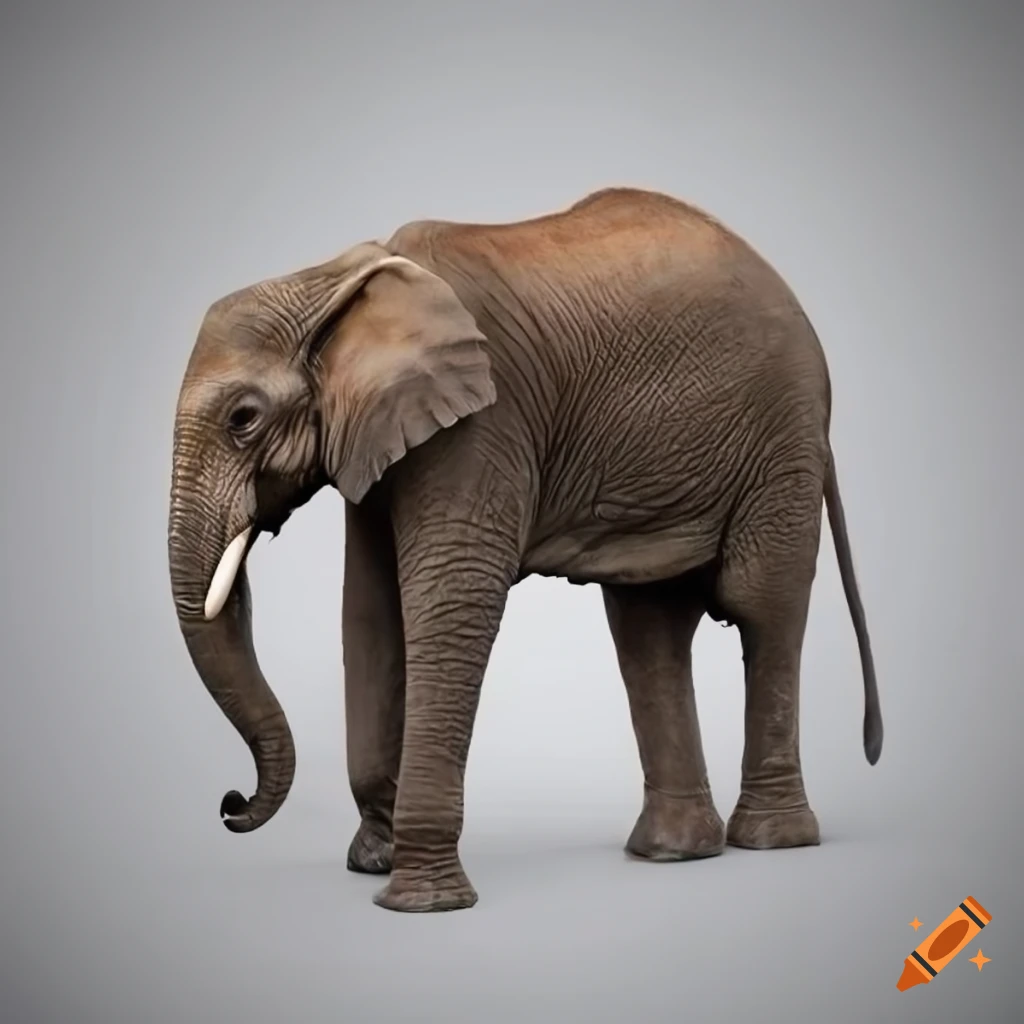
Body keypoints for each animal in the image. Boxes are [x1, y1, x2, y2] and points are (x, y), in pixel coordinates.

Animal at [168, 186, 882, 913]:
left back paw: (773, 841)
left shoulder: (485, 418)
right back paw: (673, 853)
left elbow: (450, 599)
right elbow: (369, 611)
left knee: (760, 605)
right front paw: (374, 862)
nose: (230, 804)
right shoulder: (376, 436)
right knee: (648, 628)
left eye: (243, 419)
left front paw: (422, 903)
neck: (332, 281)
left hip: (783, 437)